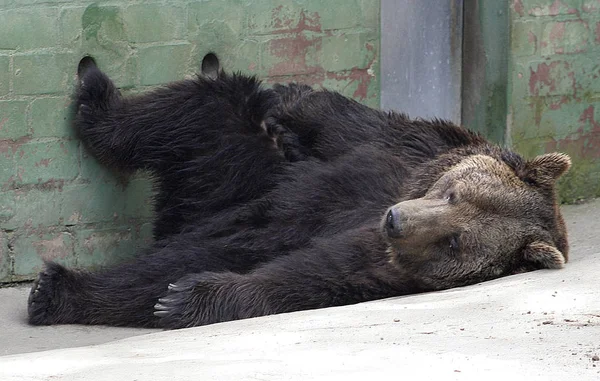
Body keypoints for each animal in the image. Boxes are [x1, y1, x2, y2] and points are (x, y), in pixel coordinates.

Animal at [28, 60, 572, 328]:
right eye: (455, 193)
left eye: (456, 241)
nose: (396, 221)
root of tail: (176, 217)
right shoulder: (407, 148)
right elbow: (331, 116)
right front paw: (288, 105)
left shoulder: (387, 266)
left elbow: (303, 275)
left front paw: (185, 298)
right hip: (234, 168)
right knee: (207, 105)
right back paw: (96, 97)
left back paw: (57, 292)